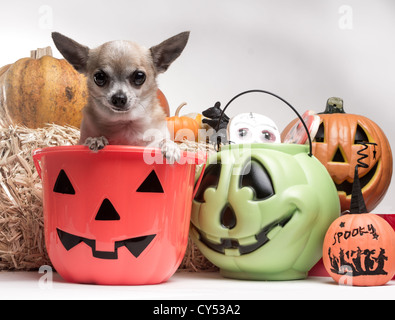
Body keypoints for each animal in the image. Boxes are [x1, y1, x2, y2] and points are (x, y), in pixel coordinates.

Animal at [51, 31, 190, 161]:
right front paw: (96, 139)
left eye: (139, 76)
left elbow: (161, 141)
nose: (118, 98)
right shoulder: (80, 140)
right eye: (99, 77)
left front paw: (170, 146)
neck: (124, 122)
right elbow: (86, 140)